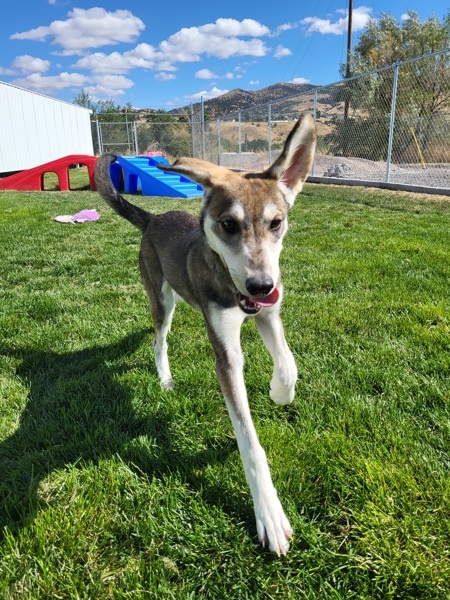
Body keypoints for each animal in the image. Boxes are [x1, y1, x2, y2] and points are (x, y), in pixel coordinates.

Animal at [94, 113, 316, 556]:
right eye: (228, 225)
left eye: (276, 223)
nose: (262, 286)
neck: (232, 286)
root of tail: (154, 218)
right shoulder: (226, 355)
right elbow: (249, 441)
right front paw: (269, 514)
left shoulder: (269, 316)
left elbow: (288, 365)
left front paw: (279, 393)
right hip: (161, 299)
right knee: (158, 340)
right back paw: (164, 378)